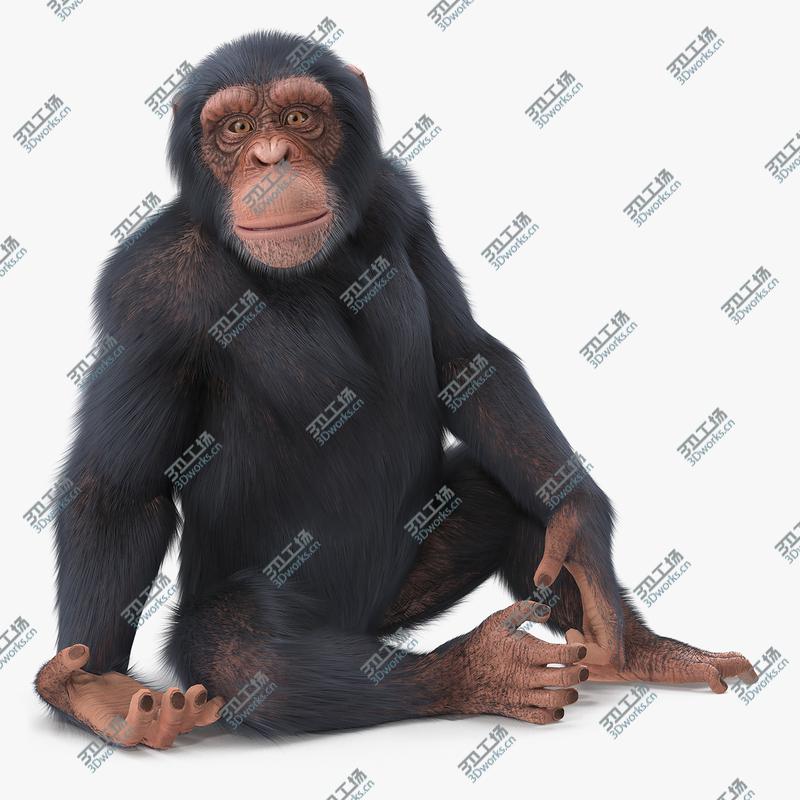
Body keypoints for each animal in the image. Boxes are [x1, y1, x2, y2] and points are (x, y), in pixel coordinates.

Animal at [34, 30, 756, 749]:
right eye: (235, 129)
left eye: (300, 117)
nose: (271, 157)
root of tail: (353, 629)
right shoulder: (147, 292)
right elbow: (120, 489)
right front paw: (92, 688)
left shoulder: (401, 204)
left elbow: (465, 356)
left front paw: (581, 526)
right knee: (245, 652)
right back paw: (481, 670)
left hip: (399, 594)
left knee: (499, 489)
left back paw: (641, 651)